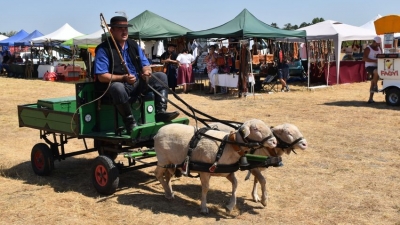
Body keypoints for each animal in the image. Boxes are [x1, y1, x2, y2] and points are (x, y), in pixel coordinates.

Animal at [17, 81, 280, 195]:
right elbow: (107, 169)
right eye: (257, 130)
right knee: (46, 149)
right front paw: (103, 178)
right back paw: (42, 161)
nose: (275, 145)